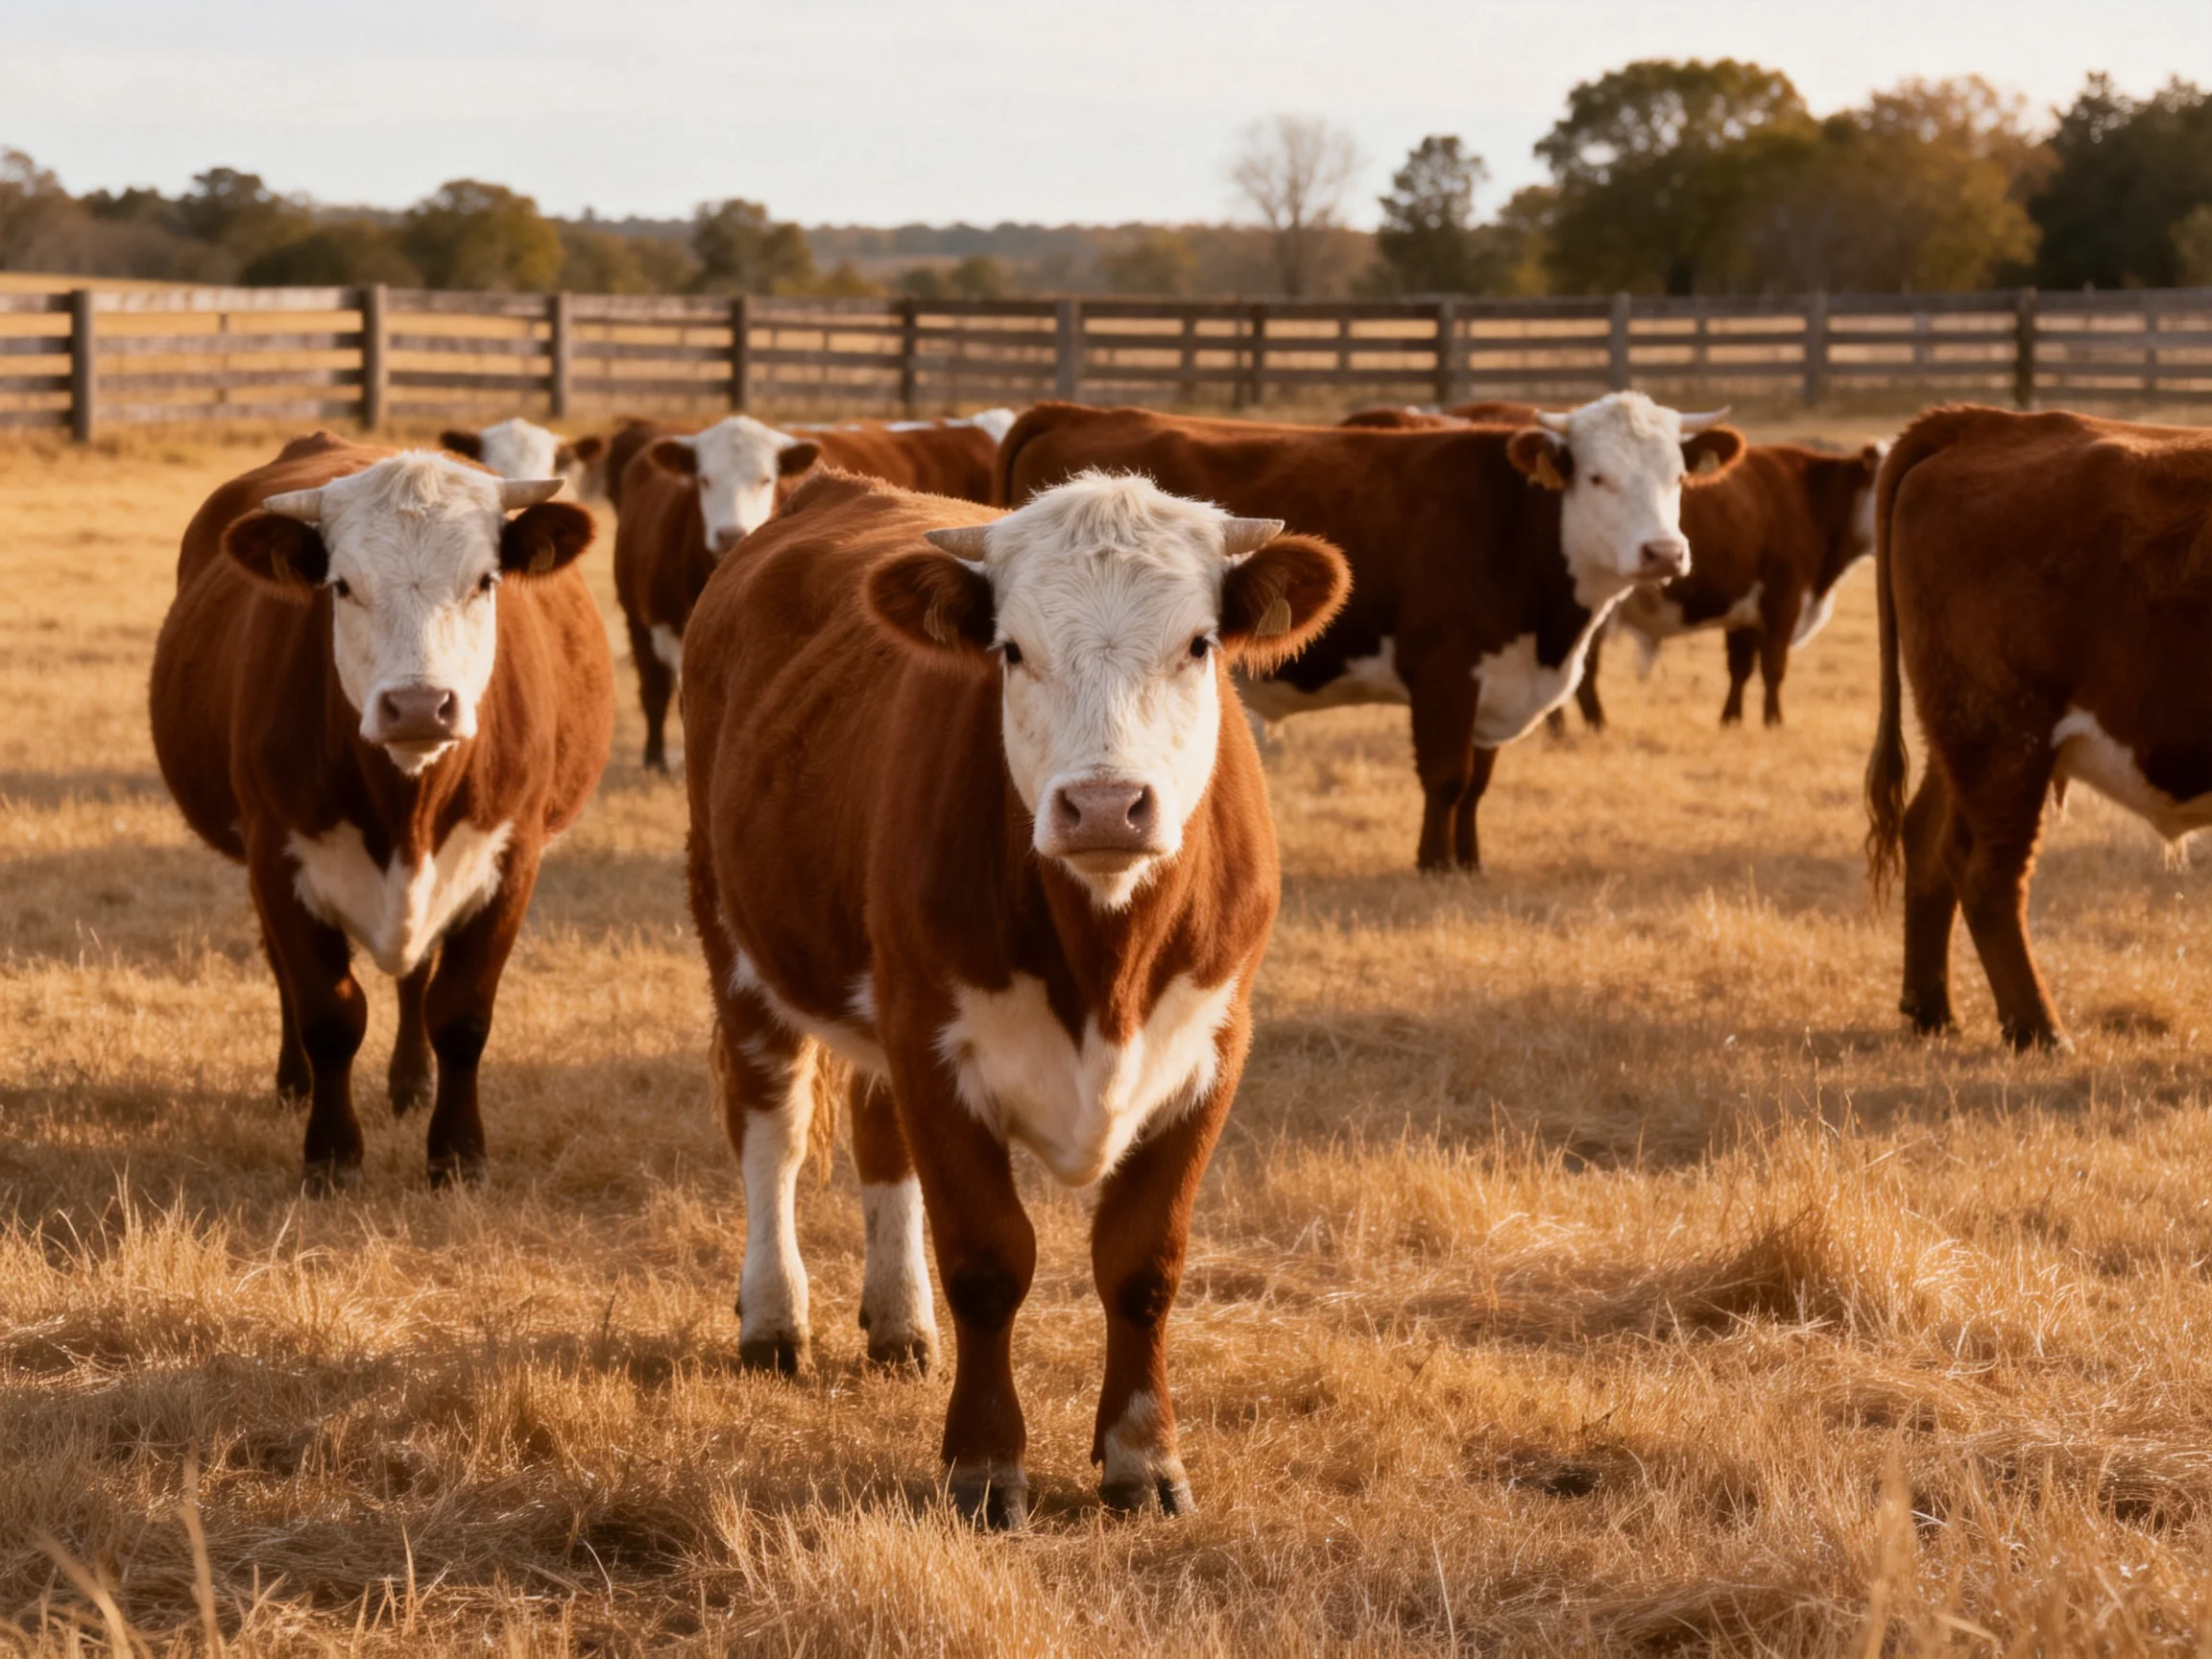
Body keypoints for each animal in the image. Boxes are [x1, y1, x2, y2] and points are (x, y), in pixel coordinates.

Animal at [149, 432, 612, 1189]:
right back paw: (294, 1082)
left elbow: (461, 1015)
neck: (407, 805)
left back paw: (411, 1081)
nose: (419, 705)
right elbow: (328, 1013)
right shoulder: (277, 854)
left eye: (486, 581)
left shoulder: (511, 860)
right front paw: (332, 1156)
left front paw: (457, 1154)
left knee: (418, 978)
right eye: (342, 586)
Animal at [613, 412, 1011, 769]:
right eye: (705, 479)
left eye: (766, 479)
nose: (730, 533)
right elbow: (654, 692)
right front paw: (654, 760)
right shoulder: (643, 622)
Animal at [682, 468, 1348, 1526]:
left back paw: (899, 1324)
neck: (1104, 958)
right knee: (770, 1131)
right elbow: (989, 1259)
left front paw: (1143, 1459)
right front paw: (985, 1466)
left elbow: (1142, 1262)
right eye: (1012, 649)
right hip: (737, 940)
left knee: (880, 1141)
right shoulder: (933, 1039)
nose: (1107, 805)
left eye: (1199, 644)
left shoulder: (1212, 1047)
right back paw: (775, 1321)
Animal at [999, 397, 1744, 871]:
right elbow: (1447, 776)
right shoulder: (1445, 672)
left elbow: (1479, 781)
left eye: (1679, 476)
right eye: (1597, 476)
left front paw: (1470, 861)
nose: (1664, 552)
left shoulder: (1495, 683)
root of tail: (1074, 410)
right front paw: (1434, 863)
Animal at [1866, 405, 2212, 1052]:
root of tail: (1988, 424)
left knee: (1927, 840)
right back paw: (2040, 1030)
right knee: (1987, 872)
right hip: (2005, 739)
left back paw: (1933, 1012)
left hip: (1960, 737)